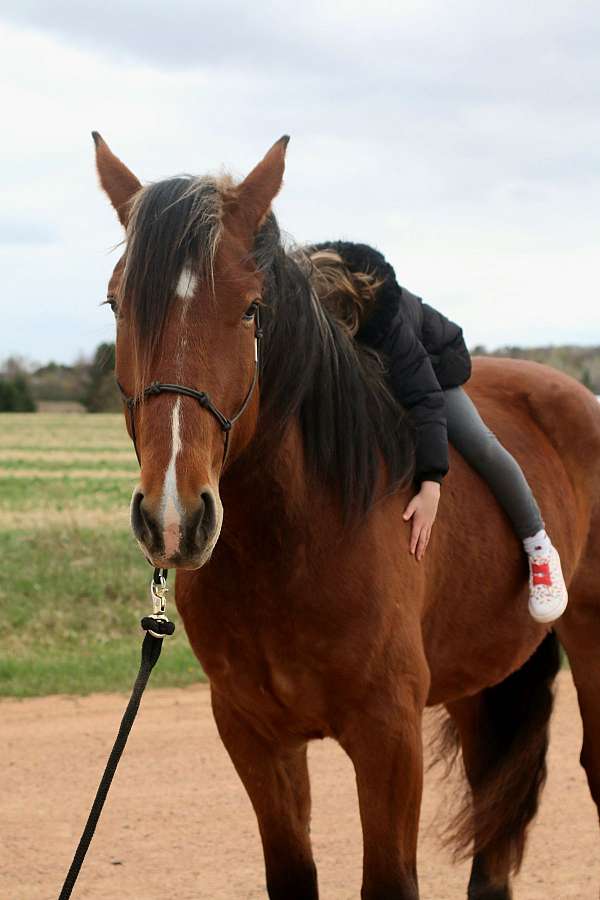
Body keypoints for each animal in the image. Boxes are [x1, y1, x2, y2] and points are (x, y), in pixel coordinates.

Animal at [93, 131, 600, 900]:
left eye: (251, 308)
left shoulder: (388, 738)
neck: (295, 546)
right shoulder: (254, 736)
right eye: (118, 303)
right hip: (480, 680)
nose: (174, 516)